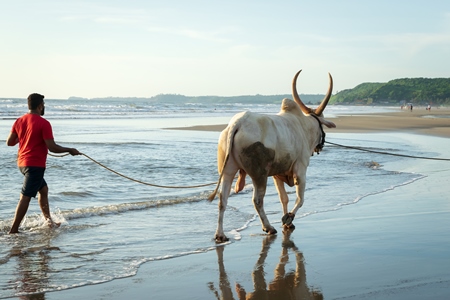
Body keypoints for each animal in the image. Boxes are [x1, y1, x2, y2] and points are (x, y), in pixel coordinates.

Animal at [207, 69, 334, 243]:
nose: (320, 146)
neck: (304, 126)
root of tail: (238, 123)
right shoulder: (300, 169)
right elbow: (300, 198)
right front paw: (288, 218)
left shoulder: (277, 174)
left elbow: (284, 198)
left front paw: (288, 222)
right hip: (259, 174)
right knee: (257, 200)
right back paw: (268, 227)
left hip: (228, 170)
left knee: (222, 199)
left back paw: (220, 234)